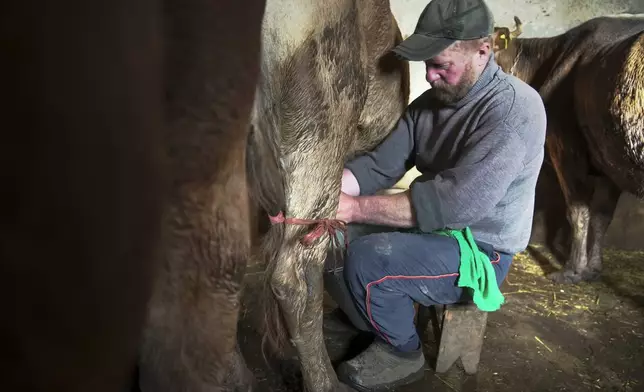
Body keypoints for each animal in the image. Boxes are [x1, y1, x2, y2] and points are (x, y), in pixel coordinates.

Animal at [494, 15, 644, 284]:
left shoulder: (565, 147)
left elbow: (578, 211)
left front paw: (573, 270)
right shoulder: (609, 161)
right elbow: (602, 217)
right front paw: (593, 268)